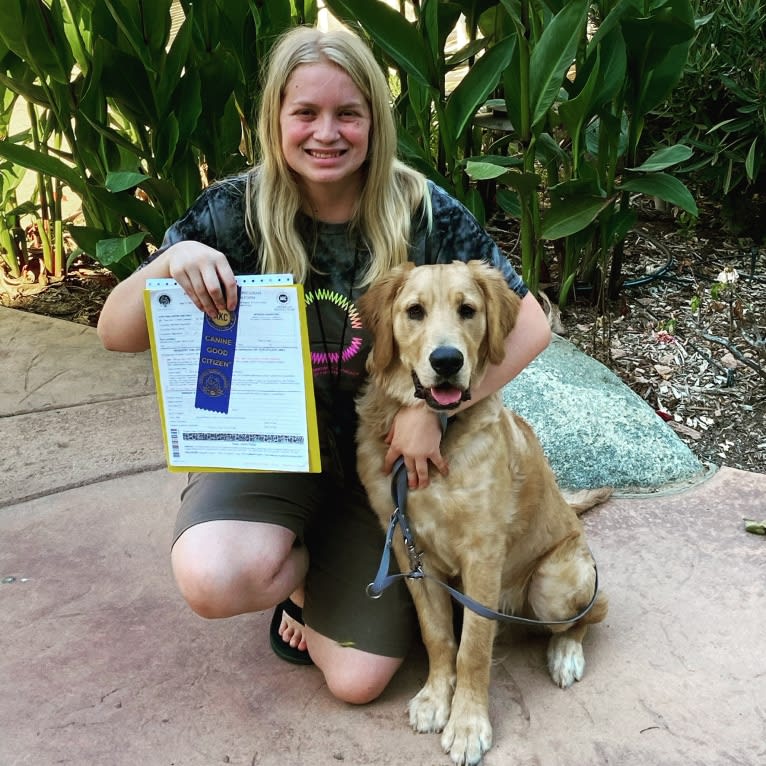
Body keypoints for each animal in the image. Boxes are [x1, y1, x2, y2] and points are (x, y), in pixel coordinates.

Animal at [356, 264, 608, 766]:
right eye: (415, 311)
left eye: (467, 310)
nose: (447, 361)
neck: (439, 439)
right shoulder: (410, 552)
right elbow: (437, 634)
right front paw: (437, 697)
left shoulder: (483, 555)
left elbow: (472, 648)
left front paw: (468, 725)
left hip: (554, 585)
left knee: (589, 614)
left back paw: (566, 654)